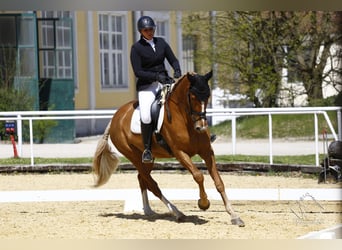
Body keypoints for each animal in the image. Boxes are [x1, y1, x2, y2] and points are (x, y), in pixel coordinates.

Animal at [92, 71, 244, 227]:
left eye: (208, 96)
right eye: (193, 96)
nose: (201, 127)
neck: (186, 120)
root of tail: (115, 117)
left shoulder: (207, 152)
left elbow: (219, 182)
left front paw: (234, 215)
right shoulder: (180, 153)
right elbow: (198, 176)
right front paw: (203, 203)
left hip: (147, 158)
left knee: (142, 179)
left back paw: (148, 210)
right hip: (133, 156)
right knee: (152, 184)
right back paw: (177, 213)